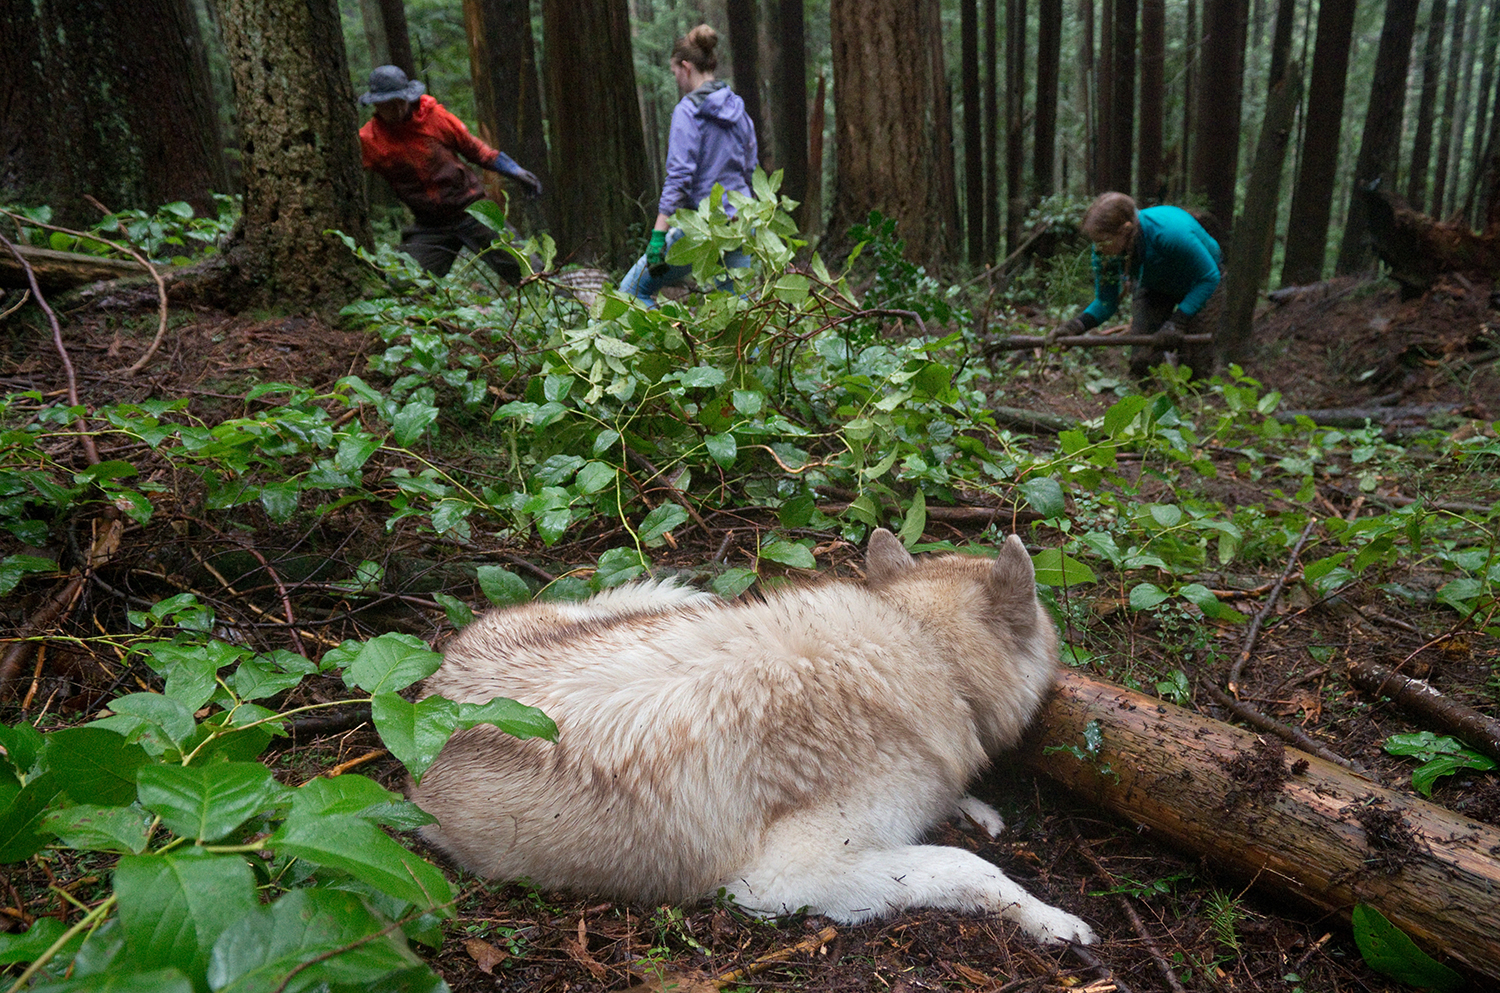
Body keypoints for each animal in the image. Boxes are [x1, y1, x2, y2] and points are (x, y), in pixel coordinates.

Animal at [417, 528, 1098, 948]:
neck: (923, 647)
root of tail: (426, 694)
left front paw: (974, 809)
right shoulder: (779, 879)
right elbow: (967, 866)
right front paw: (1053, 921)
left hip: (660, 605)